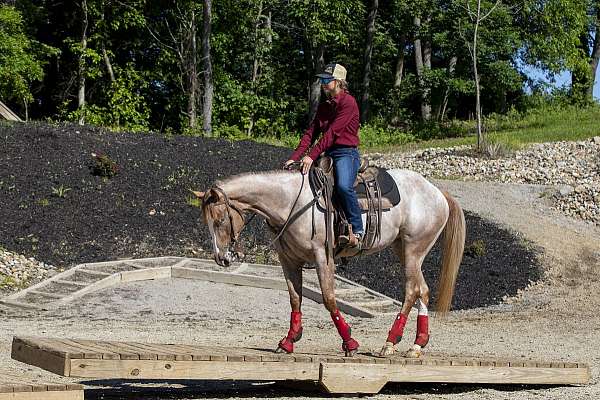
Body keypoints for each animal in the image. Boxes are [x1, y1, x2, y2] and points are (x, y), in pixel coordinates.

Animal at [195, 167, 466, 358]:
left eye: (220, 220)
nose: (222, 258)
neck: (291, 202)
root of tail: (437, 192)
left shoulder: (322, 257)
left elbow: (328, 298)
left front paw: (350, 342)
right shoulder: (288, 260)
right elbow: (295, 299)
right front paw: (288, 341)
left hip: (412, 250)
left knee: (411, 291)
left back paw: (390, 343)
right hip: (405, 250)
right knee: (423, 290)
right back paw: (417, 345)